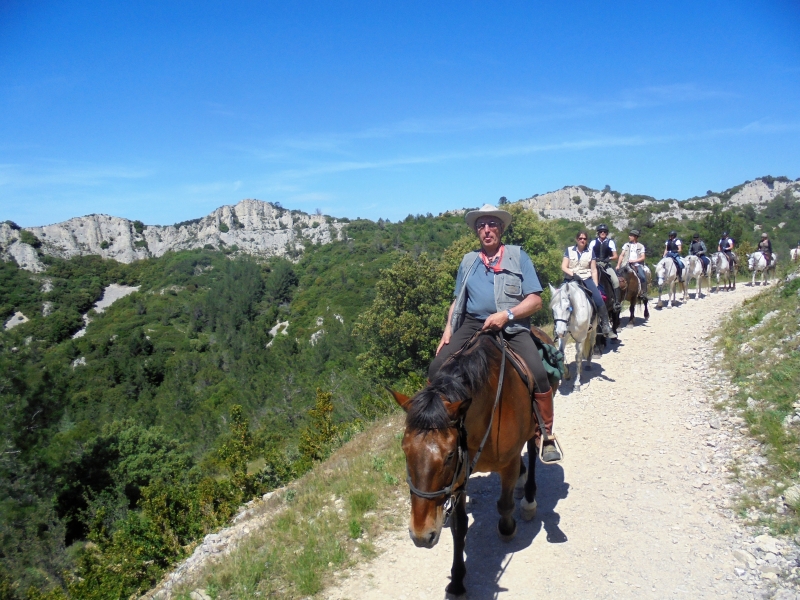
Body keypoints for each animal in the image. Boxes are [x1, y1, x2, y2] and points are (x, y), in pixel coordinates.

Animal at [390, 330, 552, 596]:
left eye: (449, 455)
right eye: (405, 450)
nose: (421, 535)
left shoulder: (505, 464)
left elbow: (504, 505)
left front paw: (507, 528)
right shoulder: (458, 479)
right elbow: (459, 527)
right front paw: (457, 581)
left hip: (534, 429)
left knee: (531, 451)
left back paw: (528, 497)